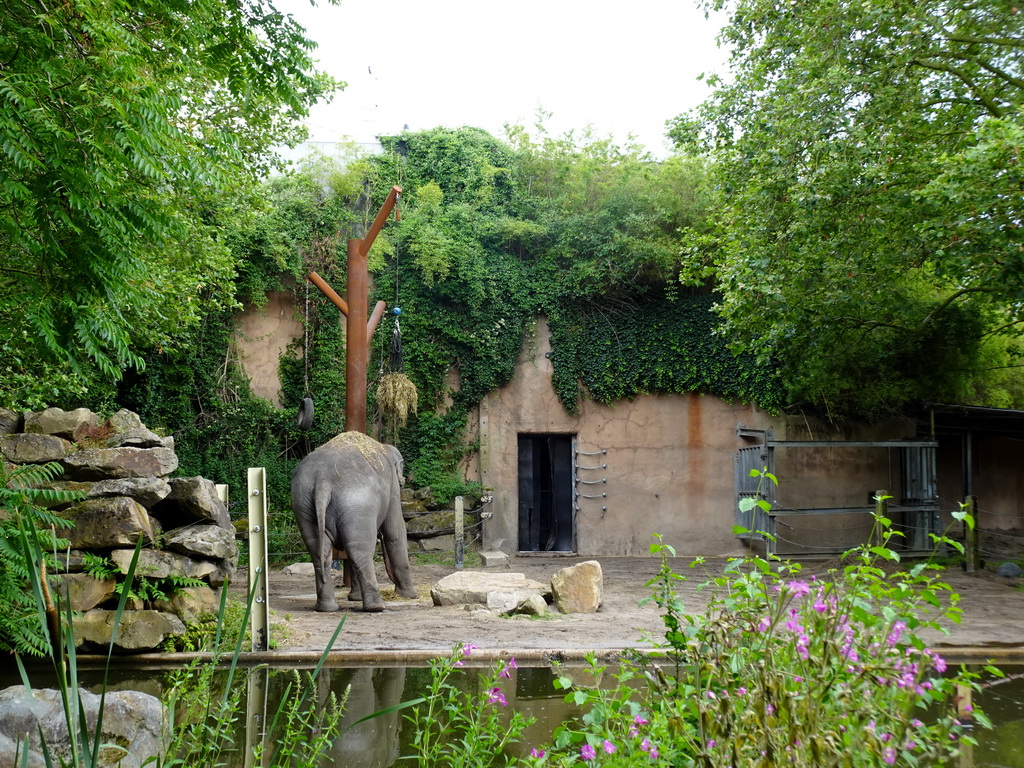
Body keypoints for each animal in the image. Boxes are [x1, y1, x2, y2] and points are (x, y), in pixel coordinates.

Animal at [290, 434, 417, 614]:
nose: (404, 480)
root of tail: (322, 479)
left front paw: (354, 598)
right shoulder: (392, 488)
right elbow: (395, 533)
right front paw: (411, 596)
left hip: (302, 502)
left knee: (319, 551)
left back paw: (327, 608)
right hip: (358, 502)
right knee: (359, 550)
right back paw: (376, 607)